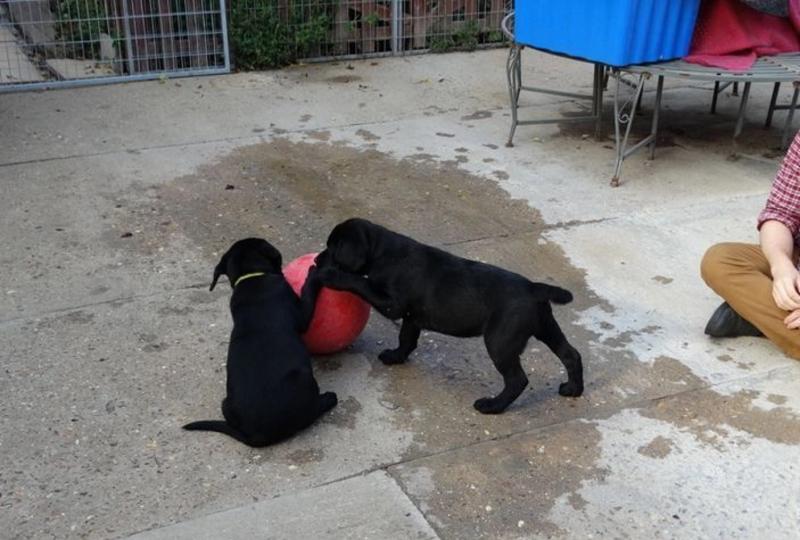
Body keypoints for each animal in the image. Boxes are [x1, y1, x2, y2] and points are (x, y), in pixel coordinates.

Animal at [184, 238, 338, 446]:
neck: (251, 277)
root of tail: (256, 435)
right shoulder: (301, 314)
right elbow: (308, 291)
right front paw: (314, 273)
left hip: (225, 402)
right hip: (305, 378)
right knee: (311, 413)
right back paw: (329, 398)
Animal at [316, 217, 584, 416]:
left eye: (333, 247)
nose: (318, 259)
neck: (383, 252)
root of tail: (533, 288)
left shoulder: (393, 305)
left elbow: (361, 282)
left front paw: (332, 276)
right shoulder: (412, 316)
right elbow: (406, 339)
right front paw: (396, 356)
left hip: (500, 341)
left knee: (517, 379)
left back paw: (492, 406)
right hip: (545, 327)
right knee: (570, 354)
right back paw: (573, 389)